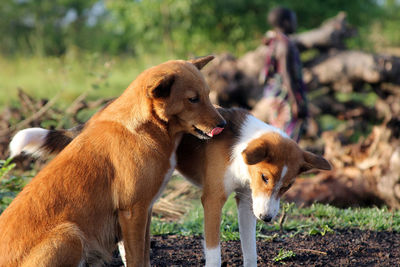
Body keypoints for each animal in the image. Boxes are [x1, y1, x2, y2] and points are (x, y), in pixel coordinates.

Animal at [0, 56, 225, 267]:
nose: (222, 124)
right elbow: (136, 259)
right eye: (193, 99)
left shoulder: (145, 210)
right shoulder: (132, 212)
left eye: (207, 94)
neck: (146, 128)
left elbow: (144, 255)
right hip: (70, 234)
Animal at [9, 108, 330, 266]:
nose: (268, 218)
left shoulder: (245, 200)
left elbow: (250, 250)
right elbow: (213, 253)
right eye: (265, 177)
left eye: (287, 186)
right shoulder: (212, 200)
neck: (239, 146)